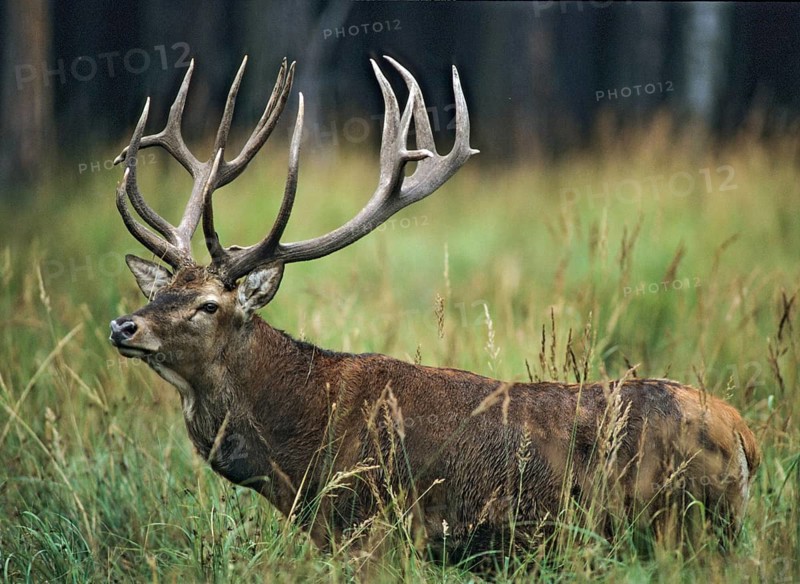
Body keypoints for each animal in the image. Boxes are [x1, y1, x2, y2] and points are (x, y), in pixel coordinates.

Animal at [108, 56, 760, 563]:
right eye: (158, 292)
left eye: (208, 305)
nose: (124, 325)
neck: (297, 452)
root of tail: (745, 435)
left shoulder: (373, 529)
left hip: (687, 527)